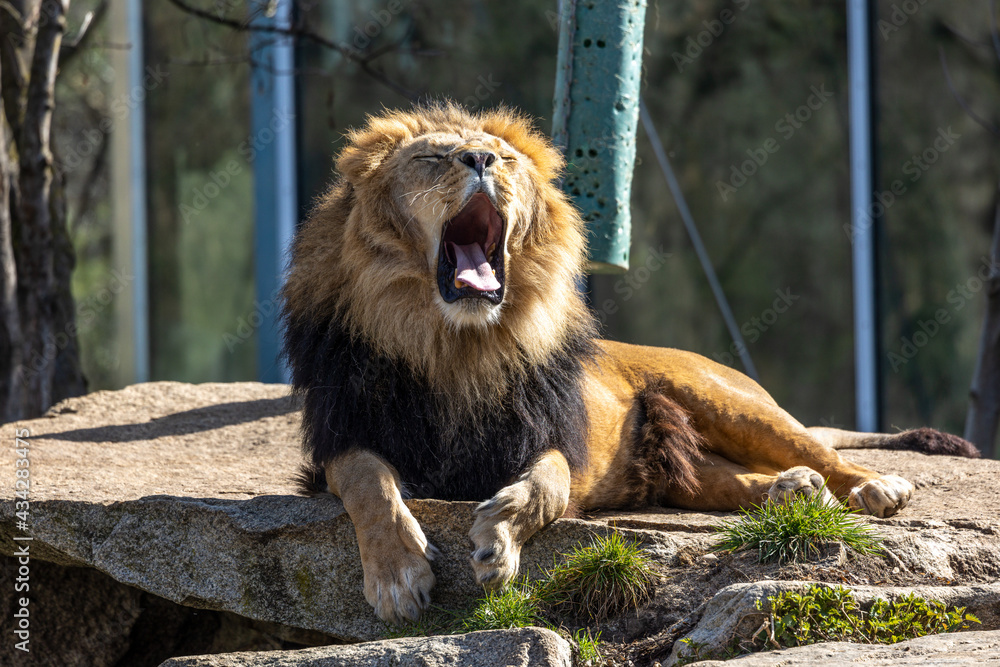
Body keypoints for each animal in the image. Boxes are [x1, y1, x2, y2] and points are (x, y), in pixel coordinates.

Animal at [281, 102, 980, 624]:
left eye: (505, 159)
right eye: (432, 157)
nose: (480, 161)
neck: (455, 345)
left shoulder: (550, 436)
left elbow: (547, 486)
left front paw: (498, 541)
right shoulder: (341, 437)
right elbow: (370, 484)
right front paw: (399, 577)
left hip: (728, 402)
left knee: (819, 449)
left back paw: (870, 486)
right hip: (685, 473)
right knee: (734, 482)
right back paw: (792, 492)